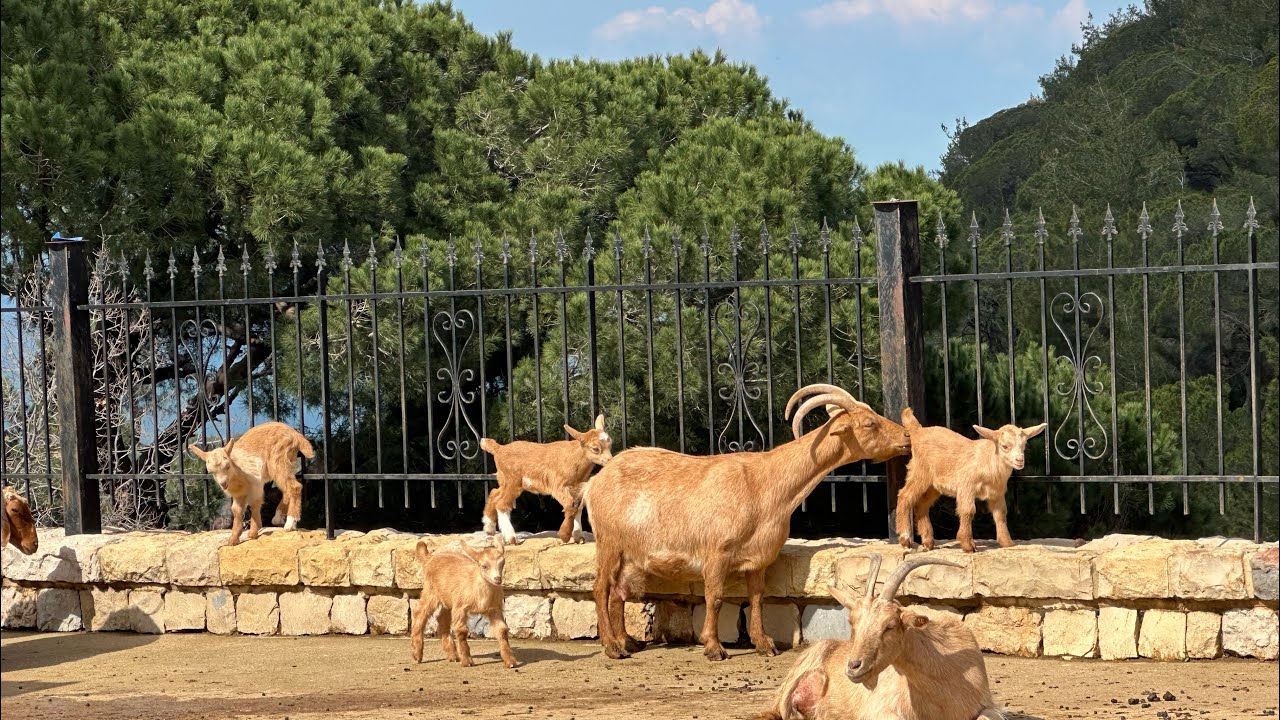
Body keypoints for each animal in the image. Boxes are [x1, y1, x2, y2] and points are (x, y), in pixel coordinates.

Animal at [410, 535, 517, 668]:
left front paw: (510, 661)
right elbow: (461, 631)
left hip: (448, 599)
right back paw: (417, 654)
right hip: (431, 591)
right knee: (420, 612)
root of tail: (430, 558)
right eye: (484, 566)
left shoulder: (495, 608)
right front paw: (467, 661)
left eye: (502, 564)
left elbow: (502, 630)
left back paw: (453, 655)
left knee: (442, 618)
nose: (497, 579)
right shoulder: (461, 606)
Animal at [480, 414, 613, 545]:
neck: (575, 459)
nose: (609, 460)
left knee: (494, 493)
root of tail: (499, 449)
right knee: (502, 504)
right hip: (513, 480)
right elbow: (570, 505)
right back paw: (511, 537)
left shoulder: (577, 488)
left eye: (610, 444)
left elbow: (577, 508)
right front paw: (564, 535)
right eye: (595, 448)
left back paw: (489, 528)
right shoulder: (558, 486)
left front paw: (578, 536)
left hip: (504, 480)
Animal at [587, 384, 911, 661]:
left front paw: (764, 644)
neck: (764, 483)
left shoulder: (759, 558)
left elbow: (757, 598)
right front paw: (714, 647)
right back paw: (612, 647)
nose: (907, 437)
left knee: (619, 592)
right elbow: (715, 597)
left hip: (631, 554)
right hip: (608, 541)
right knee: (601, 587)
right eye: (869, 423)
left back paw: (628, 642)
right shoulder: (716, 553)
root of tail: (594, 483)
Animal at [896, 408, 1045, 553]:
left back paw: (928, 542)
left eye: (1024, 445)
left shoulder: (997, 493)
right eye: (1004, 446)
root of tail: (918, 431)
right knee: (905, 495)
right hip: (920, 472)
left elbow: (1001, 514)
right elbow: (968, 511)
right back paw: (905, 538)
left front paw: (1007, 543)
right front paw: (968, 545)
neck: (988, 460)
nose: (1020, 461)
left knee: (922, 504)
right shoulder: (966, 486)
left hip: (934, 485)